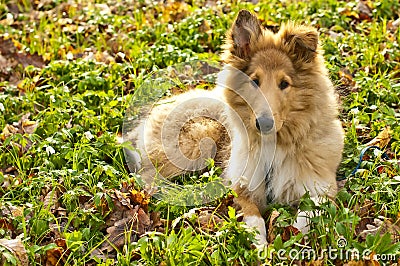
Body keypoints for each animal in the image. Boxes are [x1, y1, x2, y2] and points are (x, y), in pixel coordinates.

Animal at [127, 9, 344, 243]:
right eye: (255, 81)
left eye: (284, 83)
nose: (264, 123)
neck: (273, 146)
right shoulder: (241, 186)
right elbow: (254, 218)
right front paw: (260, 243)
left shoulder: (323, 187)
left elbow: (306, 215)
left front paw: (292, 238)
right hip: (196, 144)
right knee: (147, 177)